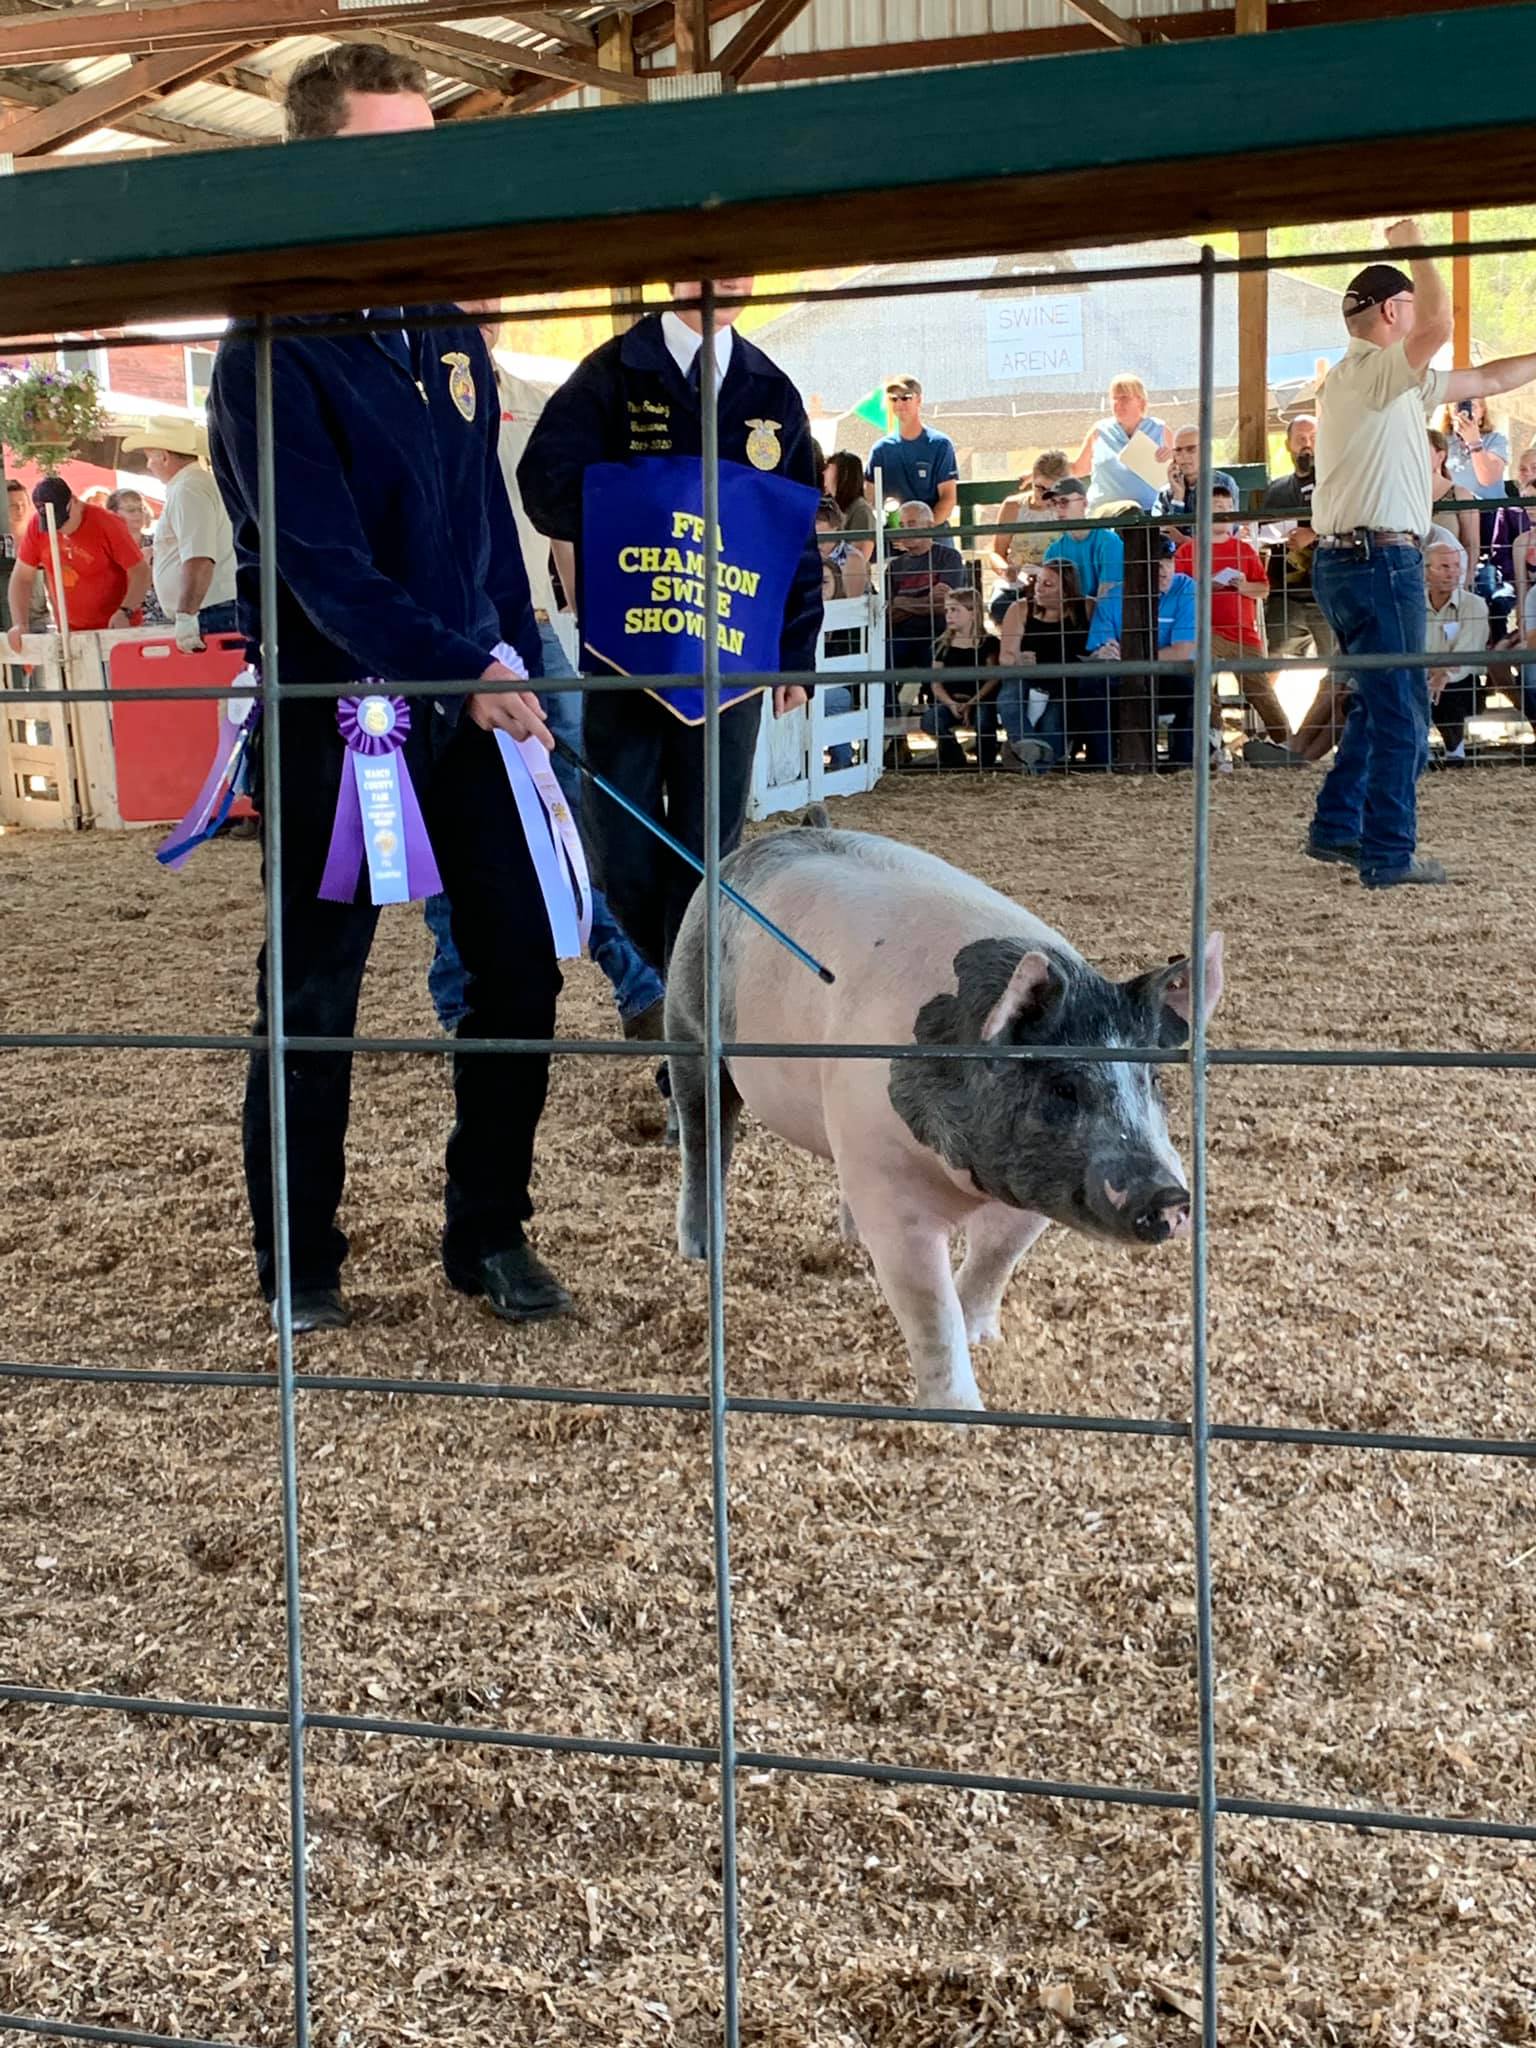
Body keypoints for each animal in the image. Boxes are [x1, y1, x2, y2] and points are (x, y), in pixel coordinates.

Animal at [665, 813, 1224, 1411]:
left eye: (1152, 1079)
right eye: (1063, 1086)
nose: (1166, 1196)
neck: (966, 1179)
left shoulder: (1034, 1186)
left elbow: (996, 1257)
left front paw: (985, 1338)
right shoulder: (889, 1185)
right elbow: (930, 1307)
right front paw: (960, 1415)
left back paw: (849, 1239)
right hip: (686, 1018)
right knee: (703, 1132)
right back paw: (700, 1249)